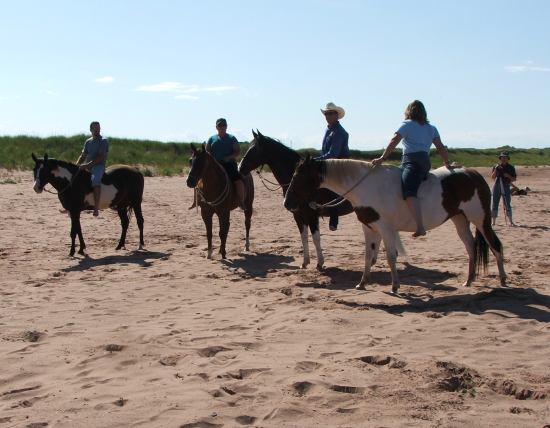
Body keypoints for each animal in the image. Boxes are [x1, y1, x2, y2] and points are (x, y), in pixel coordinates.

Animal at [239, 130, 356, 268]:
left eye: (254, 149)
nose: (240, 168)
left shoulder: (312, 215)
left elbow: (316, 238)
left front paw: (320, 263)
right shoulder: (298, 215)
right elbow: (304, 237)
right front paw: (305, 262)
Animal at [286, 157, 506, 294]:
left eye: (300, 176)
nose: (288, 203)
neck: (367, 186)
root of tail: (473, 174)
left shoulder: (386, 229)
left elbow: (391, 257)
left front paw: (394, 286)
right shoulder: (369, 227)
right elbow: (368, 255)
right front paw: (362, 283)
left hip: (481, 218)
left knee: (495, 245)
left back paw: (503, 280)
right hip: (460, 219)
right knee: (470, 246)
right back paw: (469, 280)